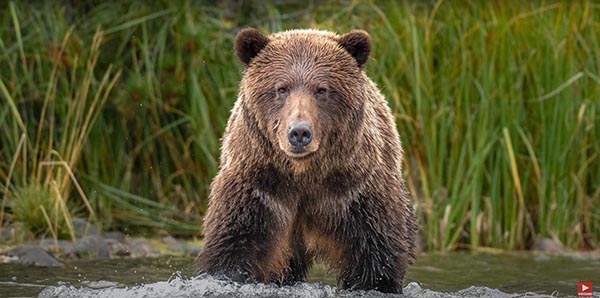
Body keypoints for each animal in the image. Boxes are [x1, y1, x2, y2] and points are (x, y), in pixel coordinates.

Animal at [197, 28, 418, 294]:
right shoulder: (258, 188)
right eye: (281, 88)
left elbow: (375, 260)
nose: (299, 133)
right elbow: (233, 247)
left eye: (321, 89)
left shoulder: (356, 192)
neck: (304, 174)